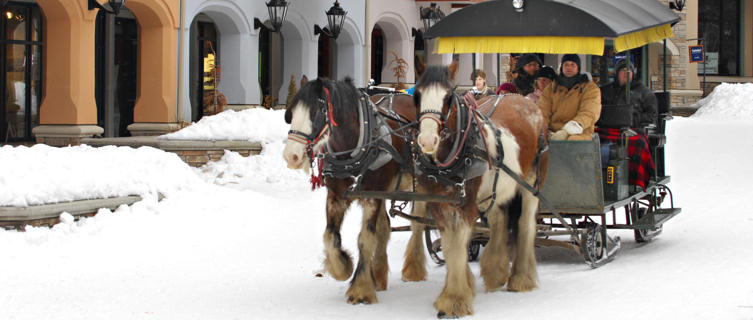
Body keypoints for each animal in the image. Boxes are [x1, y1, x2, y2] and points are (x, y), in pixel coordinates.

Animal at [280, 78, 426, 304]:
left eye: (316, 112)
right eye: (291, 113)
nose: (291, 156)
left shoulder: (372, 197)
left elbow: (365, 239)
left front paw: (360, 289)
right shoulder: (336, 196)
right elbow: (330, 235)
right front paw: (342, 268)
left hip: (421, 184)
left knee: (418, 223)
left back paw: (413, 269)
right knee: (384, 227)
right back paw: (379, 275)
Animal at [412, 62, 548, 318]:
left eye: (447, 97)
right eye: (417, 95)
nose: (427, 141)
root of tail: (523, 100)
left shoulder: (467, 205)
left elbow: (457, 245)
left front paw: (455, 299)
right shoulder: (438, 204)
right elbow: (450, 245)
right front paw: (459, 289)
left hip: (532, 182)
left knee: (526, 224)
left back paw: (521, 278)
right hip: (495, 189)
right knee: (499, 220)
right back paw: (495, 272)